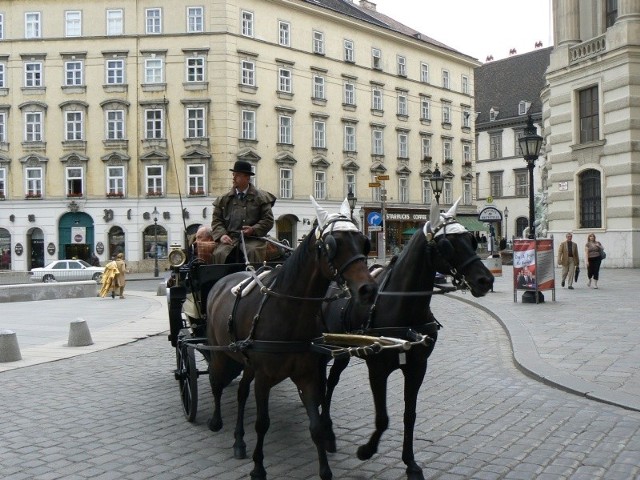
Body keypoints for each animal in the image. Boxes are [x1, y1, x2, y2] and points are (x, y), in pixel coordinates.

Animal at [205, 200, 378, 480]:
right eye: (332, 244)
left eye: (364, 242)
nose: (368, 290)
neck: (289, 312)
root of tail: (222, 280)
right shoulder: (264, 378)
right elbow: (262, 423)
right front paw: (258, 468)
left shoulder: (307, 375)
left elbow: (315, 425)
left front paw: (325, 469)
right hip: (219, 352)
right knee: (216, 383)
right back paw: (215, 420)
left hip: (248, 362)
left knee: (241, 393)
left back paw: (239, 440)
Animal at [320, 199, 496, 480]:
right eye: (447, 244)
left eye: (471, 239)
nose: (486, 280)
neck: (402, 307)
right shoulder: (377, 369)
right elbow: (383, 418)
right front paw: (366, 450)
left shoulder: (417, 367)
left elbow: (409, 414)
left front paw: (410, 462)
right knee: (328, 382)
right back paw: (326, 432)